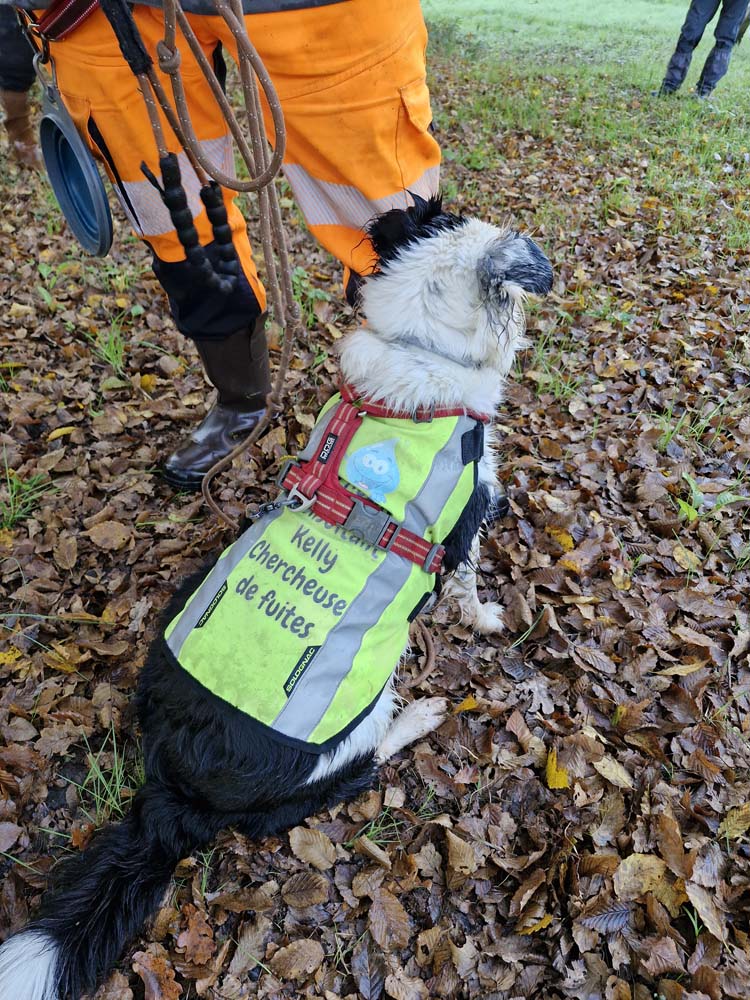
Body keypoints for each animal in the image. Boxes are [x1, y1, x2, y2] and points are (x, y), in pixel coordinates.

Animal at [0, 197, 552, 1000]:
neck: (419, 347)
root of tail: (172, 791)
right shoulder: (467, 517)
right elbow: (470, 581)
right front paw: (484, 620)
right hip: (356, 708)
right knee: (363, 764)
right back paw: (422, 715)